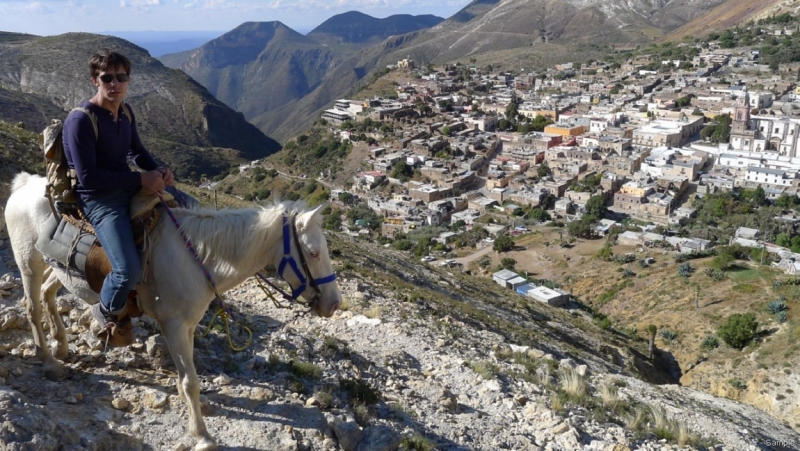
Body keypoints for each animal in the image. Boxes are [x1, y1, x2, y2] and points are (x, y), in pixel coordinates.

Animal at [3, 172, 340, 448]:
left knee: (47, 294)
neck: (199, 257)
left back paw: (60, 346)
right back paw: (48, 361)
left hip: (60, 270)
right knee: (32, 306)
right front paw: (202, 435)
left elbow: (187, 375)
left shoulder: (187, 326)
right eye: (313, 252)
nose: (334, 304)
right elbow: (191, 382)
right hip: (29, 263)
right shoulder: (174, 326)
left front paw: (191, 409)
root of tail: (24, 184)